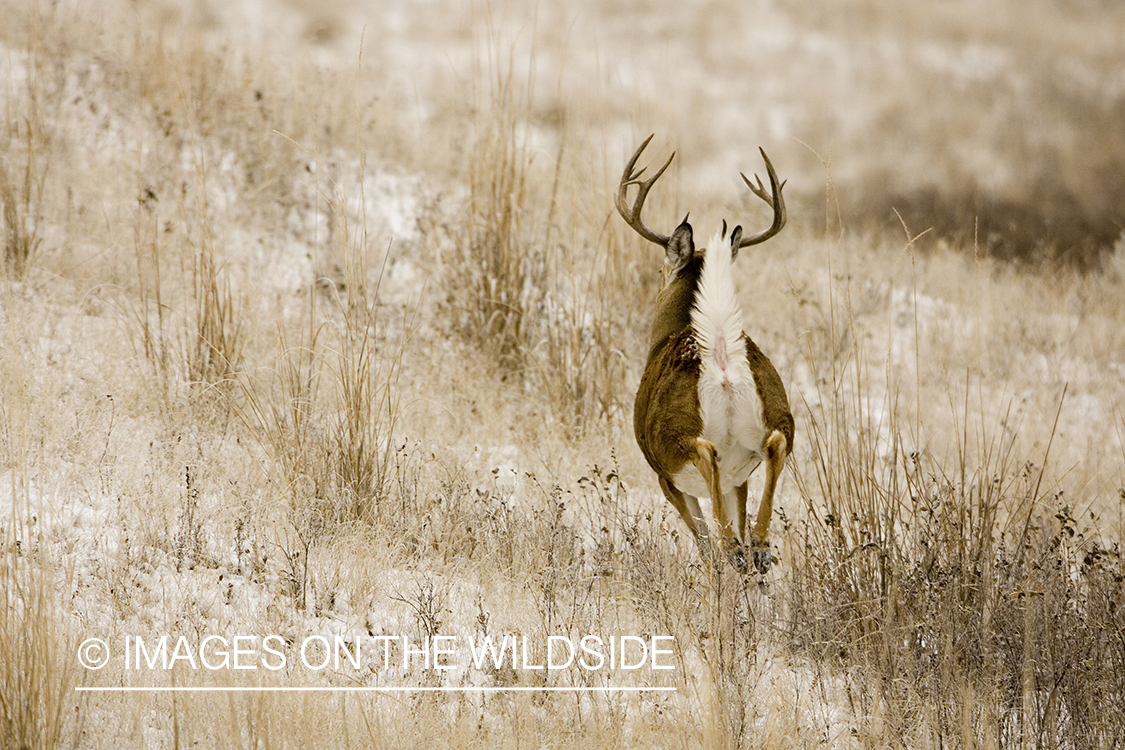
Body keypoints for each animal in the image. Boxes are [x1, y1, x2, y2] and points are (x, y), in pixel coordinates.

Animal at [621, 134, 796, 571]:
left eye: (660, 270)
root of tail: (719, 353)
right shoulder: (740, 480)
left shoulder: (665, 480)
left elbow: (699, 539)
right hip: (773, 411)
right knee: (775, 442)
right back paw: (759, 547)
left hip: (672, 438)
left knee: (705, 452)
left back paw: (734, 549)